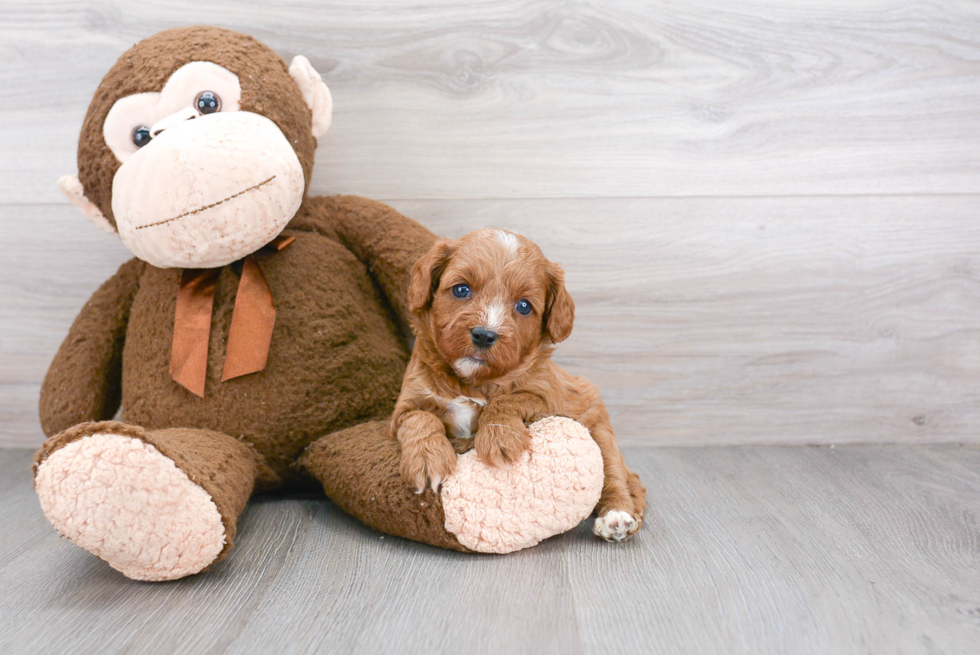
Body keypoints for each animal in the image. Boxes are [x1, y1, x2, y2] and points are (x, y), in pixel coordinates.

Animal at [390, 228, 644, 540]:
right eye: (461, 289)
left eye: (524, 306)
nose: (484, 335)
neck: (472, 382)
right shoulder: (404, 407)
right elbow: (420, 418)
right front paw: (428, 460)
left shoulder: (548, 395)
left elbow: (508, 398)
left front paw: (499, 439)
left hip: (600, 430)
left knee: (615, 477)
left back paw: (616, 517)